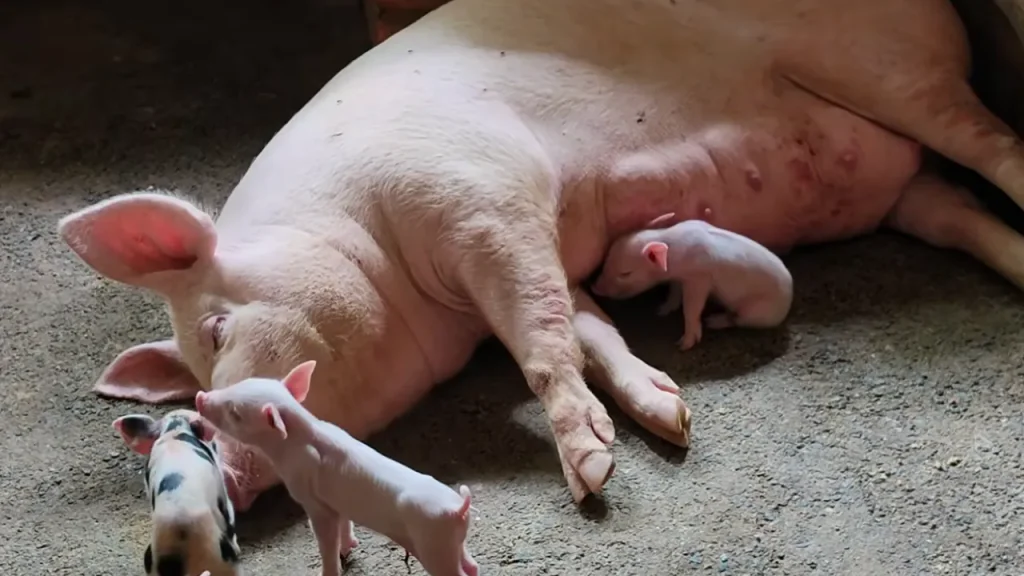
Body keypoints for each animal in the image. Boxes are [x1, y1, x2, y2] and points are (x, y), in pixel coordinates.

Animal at [193, 360, 479, 576]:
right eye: (241, 383)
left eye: (235, 414)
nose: (199, 397)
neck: (296, 440)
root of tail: (457, 508)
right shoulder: (335, 501)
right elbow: (345, 524)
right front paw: (349, 546)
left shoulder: (314, 501)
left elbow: (326, 539)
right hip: (451, 543)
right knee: (472, 565)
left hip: (433, 546)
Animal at [591, 215, 793, 351]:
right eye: (606, 261)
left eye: (625, 273)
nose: (594, 287)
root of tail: (788, 302)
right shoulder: (679, 279)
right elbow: (674, 293)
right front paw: (661, 311)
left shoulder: (699, 279)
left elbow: (691, 308)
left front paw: (683, 345)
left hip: (756, 311)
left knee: (737, 319)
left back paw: (713, 321)